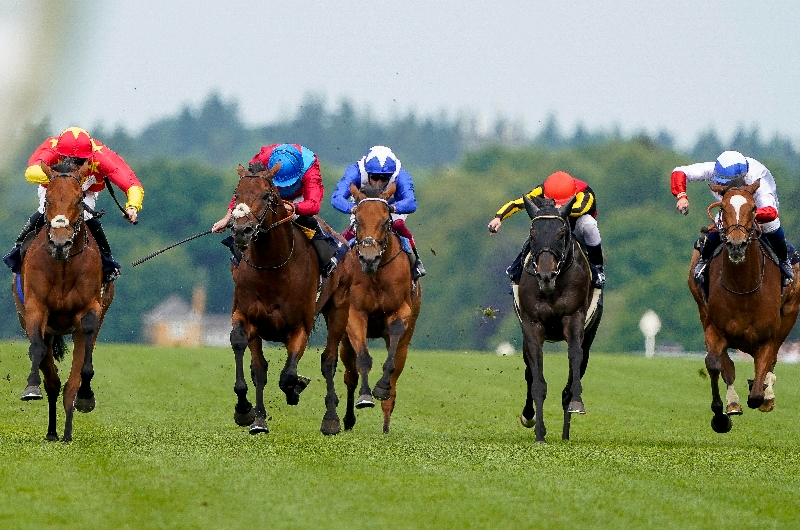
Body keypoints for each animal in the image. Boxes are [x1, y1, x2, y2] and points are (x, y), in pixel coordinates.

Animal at [12, 161, 114, 442]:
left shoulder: (91, 309)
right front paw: (31, 387)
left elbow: (82, 369)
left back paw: (67, 431)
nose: (60, 243)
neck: (63, 265)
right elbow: (37, 351)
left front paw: (85, 398)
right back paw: (52, 432)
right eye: (47, 199)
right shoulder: (35, 308)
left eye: (79, 200)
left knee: (69, 384)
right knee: (53, 381)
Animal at [228, 164, 354, 434]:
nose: (241, 231)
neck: (272, 269)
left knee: (328, 360)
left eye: (267, 195)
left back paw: (331, 419)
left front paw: (295, 388)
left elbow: (287, 376)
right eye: (237, 193)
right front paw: (248, 412)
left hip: (339, 305)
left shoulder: (299, 327)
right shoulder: (246, 315)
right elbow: (249, 357)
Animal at [340, 179, 424, 432]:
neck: (375, 275)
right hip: (343, 341)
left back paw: (386, 424)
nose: (369, 258)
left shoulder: (401, 310)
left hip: (405, 342)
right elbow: (363, 359)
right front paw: (365, 396)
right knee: (350, 376)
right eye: (357, 220)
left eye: (386, 220)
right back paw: (348, 420)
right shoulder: (355, 314)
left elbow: (392, 360)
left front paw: (381, 387)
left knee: (395, 372)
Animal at [516, 194, 604, 442]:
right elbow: (536, 378)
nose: (546, 275)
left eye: (561, 233)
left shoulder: (574, 318)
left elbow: (574, 356)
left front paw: (576, 401)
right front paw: (539, 432)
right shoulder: (532, 325)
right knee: (528, 371)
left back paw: (565, 434)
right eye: (533, 233)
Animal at [688, 179, 800, 432]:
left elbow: (758, 388)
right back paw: (733, 402)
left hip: (790, 313)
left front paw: (764, 393)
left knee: (772, 360)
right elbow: (715, 364)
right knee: (726, 365)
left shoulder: (767, 337)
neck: (743, 288)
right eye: (723, 208)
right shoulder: (715, 328)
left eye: (753, 208)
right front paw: (721, 416)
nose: (737, 244)